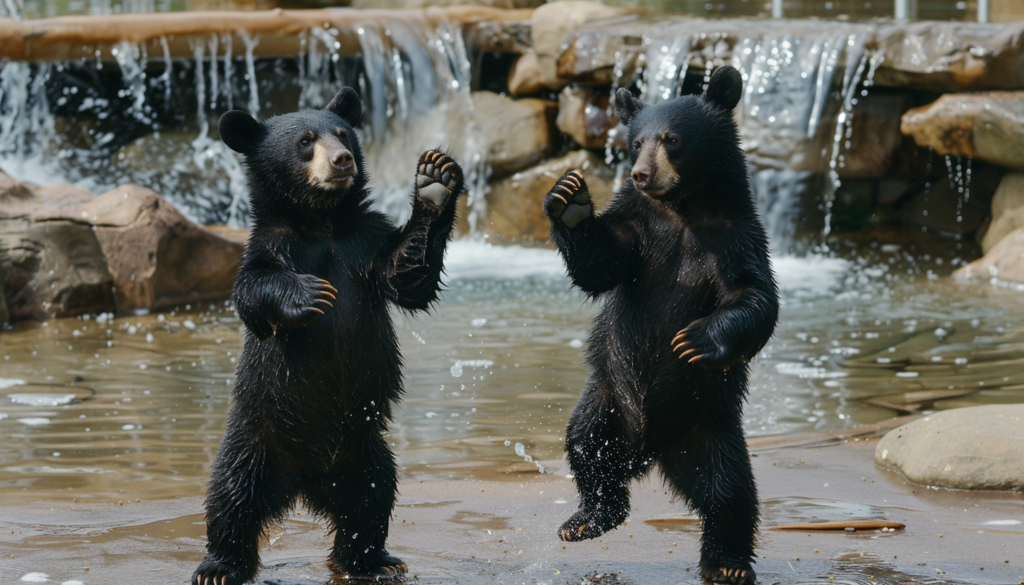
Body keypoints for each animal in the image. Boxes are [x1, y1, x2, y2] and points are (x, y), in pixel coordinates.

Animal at [192, 88, 464, 585]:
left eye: (342, 134)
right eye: (305, 141)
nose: (341, 160)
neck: (323, 223)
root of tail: (304, 482)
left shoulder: (365, 244)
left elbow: (407, 276)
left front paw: (435, 180)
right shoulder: (274, 244)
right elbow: (253, 291)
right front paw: (313, 294)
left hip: (364, 450)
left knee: (372, 499)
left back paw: (371, 561)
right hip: (256, 435)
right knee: (231, 495)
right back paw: (220, 566)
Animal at [548, 66, 778, 581]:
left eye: (671, 139)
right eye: (635, 143)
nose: (641, 174)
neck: (682, 210)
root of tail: (650, 450)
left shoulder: (736, 238)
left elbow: (754, 297)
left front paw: (693, 340)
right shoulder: (638, 232)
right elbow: (599, 264)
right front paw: (570, 199)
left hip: (709, 422)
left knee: (730, 490)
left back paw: (728, 563)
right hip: (609, 400)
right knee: (585, 444)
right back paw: (586, 518)